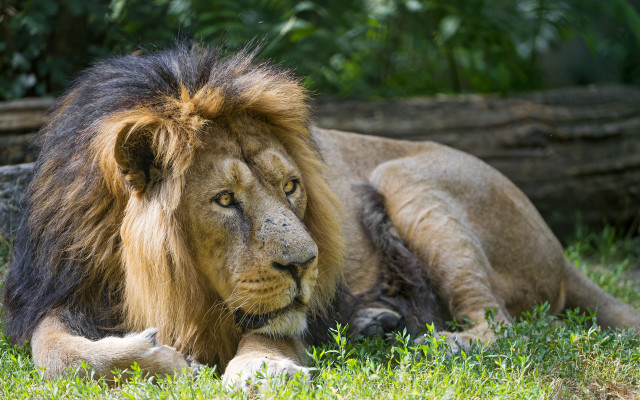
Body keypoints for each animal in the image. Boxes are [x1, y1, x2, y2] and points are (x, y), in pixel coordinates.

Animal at [3, 43, 640, 388]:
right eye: (225, 200)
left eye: (291, 187)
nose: (304, 266)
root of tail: (560, 253)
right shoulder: (62, 287)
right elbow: (52, 351)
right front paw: (156, 358)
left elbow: (273, 333)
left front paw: (262, 371)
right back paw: (378, 322)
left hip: (405, 177)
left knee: (499, 325)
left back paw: (425, 342)